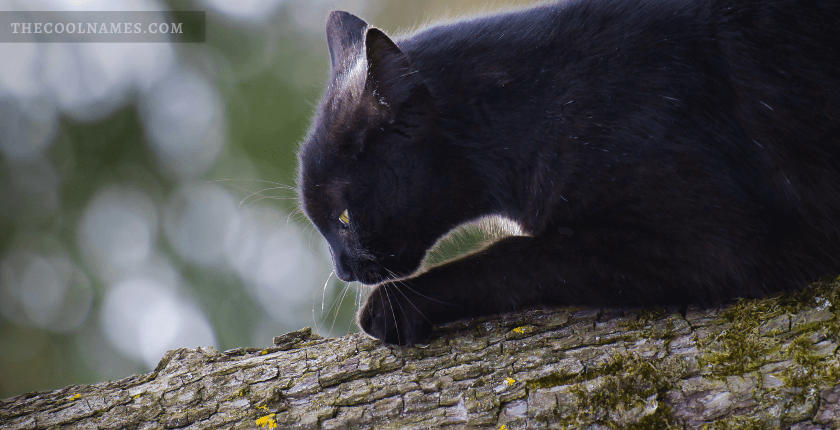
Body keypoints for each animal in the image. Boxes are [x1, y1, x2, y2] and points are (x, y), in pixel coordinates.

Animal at [296, 0, 840, 344]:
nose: (343, 270)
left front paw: (394, 308)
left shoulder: (714, 241)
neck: (539, 103)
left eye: (343, 219)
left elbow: (518, 256)